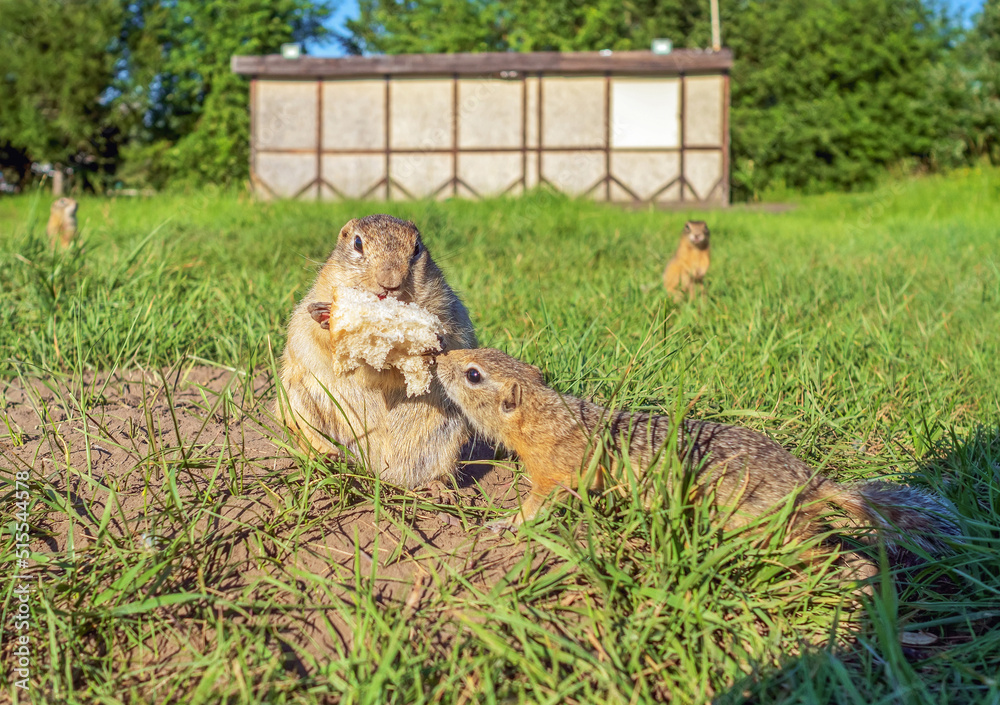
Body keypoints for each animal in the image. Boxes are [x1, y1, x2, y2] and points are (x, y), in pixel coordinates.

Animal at [274, 213, 476, 490]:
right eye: (357, 243)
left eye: (416, 248)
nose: (390, 283)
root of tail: (380, 469)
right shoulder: (319, 292)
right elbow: (317, 331)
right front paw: (325, 316)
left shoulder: (445, 301)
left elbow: (450, 329)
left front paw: (435, 341)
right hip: (298, 407)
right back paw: (329, 463)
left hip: (451, 432)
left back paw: (437, 488)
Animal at [438, 348, 960, 568]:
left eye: (473, 374)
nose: (439, 357)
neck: (545, 416)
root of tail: (809, 480)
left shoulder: (556, 474)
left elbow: (536, 507)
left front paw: (505, 524)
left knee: (817, 546)